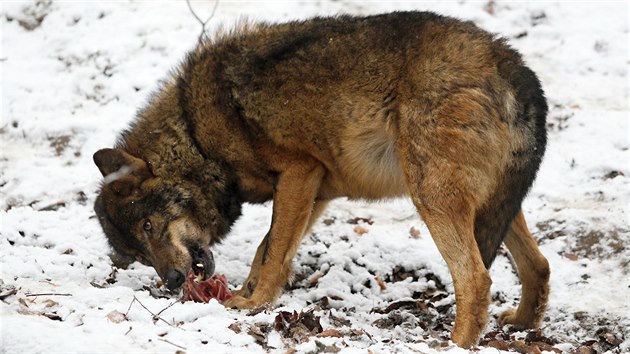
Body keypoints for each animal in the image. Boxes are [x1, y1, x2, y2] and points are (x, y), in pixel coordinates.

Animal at [91, 11, 552, 348]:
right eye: (138, 254)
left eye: (149, 226)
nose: (171, 283)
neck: (196, 133)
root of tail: (514, 66)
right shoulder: (316, 190)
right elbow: (266, 250)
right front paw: (247, 294)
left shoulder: (299, 174)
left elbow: (273, 252)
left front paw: (252, 303)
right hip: (493, 206)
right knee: (539, 265)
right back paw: (521, 323)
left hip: (432, 198)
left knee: (476, 279)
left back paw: (453, 345)